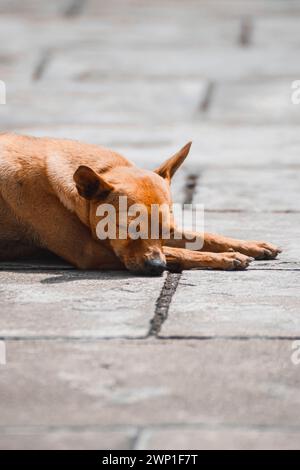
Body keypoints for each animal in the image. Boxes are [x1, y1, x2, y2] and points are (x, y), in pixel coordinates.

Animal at [0, 133, 282, 276]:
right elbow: (178, 252)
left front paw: (250, 245)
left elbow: (201, 236)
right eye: (127, 229)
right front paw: (227, 257)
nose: (157, 268)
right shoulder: (92, 251)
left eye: (166, 231)